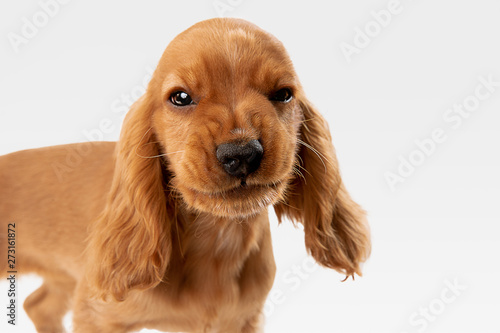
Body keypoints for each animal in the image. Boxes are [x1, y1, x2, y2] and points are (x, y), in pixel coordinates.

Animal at [0, 18, 372, 332]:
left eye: (283, 94)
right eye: (180, 97)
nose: (241, 155)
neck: (217, 238)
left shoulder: (243, 321)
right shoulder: (96, 314)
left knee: (37, 304)